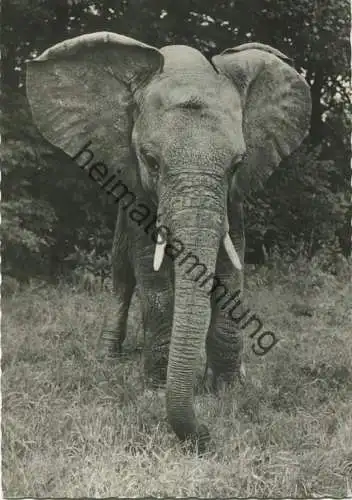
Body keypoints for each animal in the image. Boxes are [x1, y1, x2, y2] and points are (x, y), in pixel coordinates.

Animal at [25, 32, 310, 454]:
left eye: (237, 165)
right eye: (150, 160)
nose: (205, 435)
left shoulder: (234, 198)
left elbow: (231, 271)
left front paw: (227, 388)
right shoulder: (137, 193)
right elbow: (153, 279)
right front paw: (156, 387)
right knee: (121, 279)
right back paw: (109, 356)